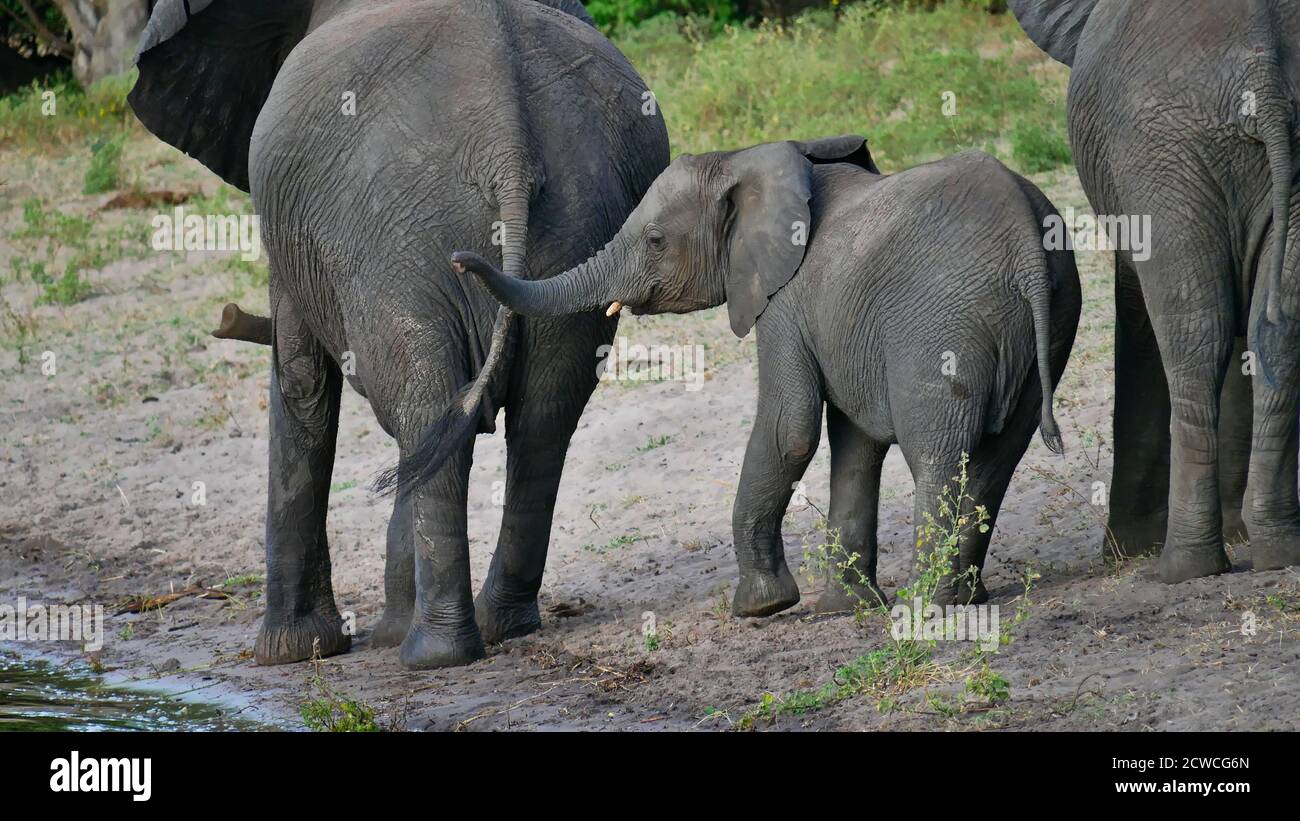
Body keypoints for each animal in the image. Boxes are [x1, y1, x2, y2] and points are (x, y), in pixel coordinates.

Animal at [129, 0, 670, 665]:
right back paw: (496, 626)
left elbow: (302, 382)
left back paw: (433, 653)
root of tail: (507, 146)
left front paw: (292, 653)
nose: (226, 318)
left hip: (393, 241)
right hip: (580, 221)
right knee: (537, 417)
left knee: (428, 412)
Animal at [444, 136, 1076, 610]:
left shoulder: (784, 301)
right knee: (995, 463)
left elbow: (789, 428)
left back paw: (927, 607)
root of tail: (1024, 236)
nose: (459, 260)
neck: (745, 160)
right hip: (1052, 320)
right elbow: (854, 440)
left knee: (939, 456)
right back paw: (966, 600)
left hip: (945, 327)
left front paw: (760, 607)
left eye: (655, 240)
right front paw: (842, 609)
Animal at [1008, 0, 1300, 579]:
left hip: (1163, 155)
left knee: (1193, 335)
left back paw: (1180, 566)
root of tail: (1265, 78)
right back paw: (1277, 550)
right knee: (1263, 331)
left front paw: (1129, 550)